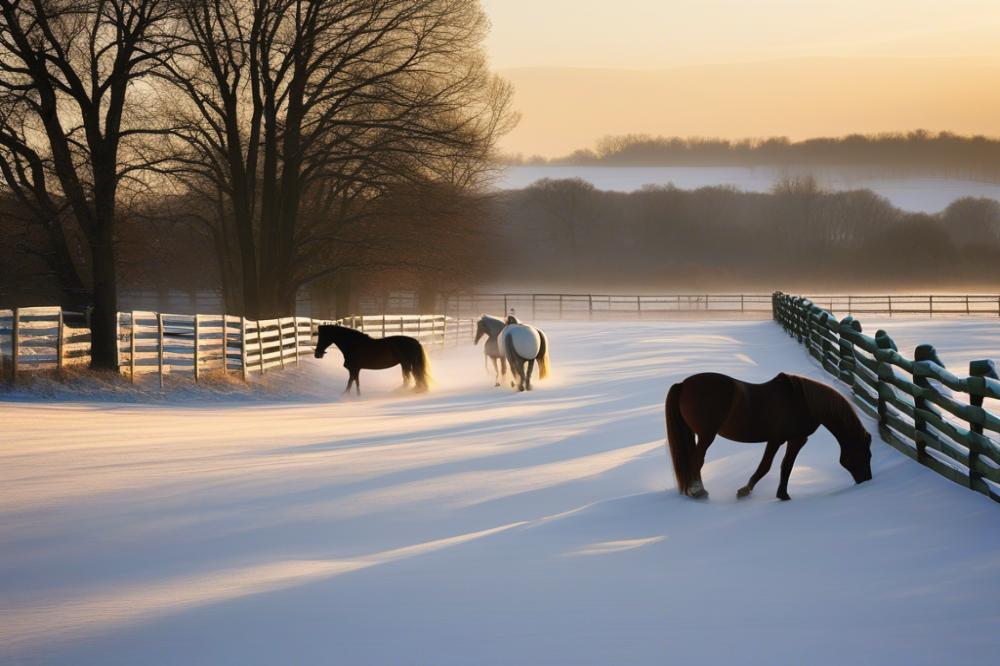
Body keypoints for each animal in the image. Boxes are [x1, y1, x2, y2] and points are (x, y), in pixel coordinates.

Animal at [668, 368, 872, 498]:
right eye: (865, 454)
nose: (867, 480)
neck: (804, 402)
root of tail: (683, 384)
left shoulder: (789, 439)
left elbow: (781, 466)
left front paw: (779, 494)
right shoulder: (788, 439)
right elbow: (771, 466)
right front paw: (750, 491)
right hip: (706, 435)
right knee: (696, 460)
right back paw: (698, 491)